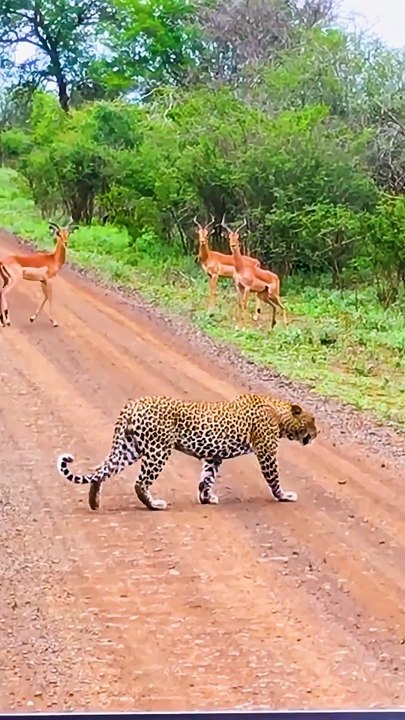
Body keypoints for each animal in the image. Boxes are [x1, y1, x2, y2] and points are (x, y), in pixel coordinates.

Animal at [56, 393, 318, 512]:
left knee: (102, 469)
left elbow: (206, 479)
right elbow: (274, 479)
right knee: (140, 482)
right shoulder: (266, 452)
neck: (278, 413)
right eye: (312, 421)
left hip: (129, 447)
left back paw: (94, 501)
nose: (318, 432)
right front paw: (284, 495)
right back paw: (155, 504)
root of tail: (132, 404)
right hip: (158, 450)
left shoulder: (213, 456)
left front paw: (206, 498)